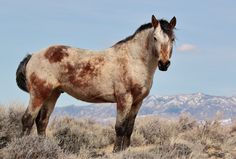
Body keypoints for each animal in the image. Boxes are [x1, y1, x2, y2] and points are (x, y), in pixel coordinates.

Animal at [16, 14, 175, 152]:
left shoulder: (137, 101)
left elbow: (129, 128)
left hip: (52, 94)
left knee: (42, 121)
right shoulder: (124, 99)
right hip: (39, 94)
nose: (164, 64)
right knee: (27, 120)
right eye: (155, 37)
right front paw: (116, 151)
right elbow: (120, 127)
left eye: (173, 39)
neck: (133, 59)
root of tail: (33, 56)